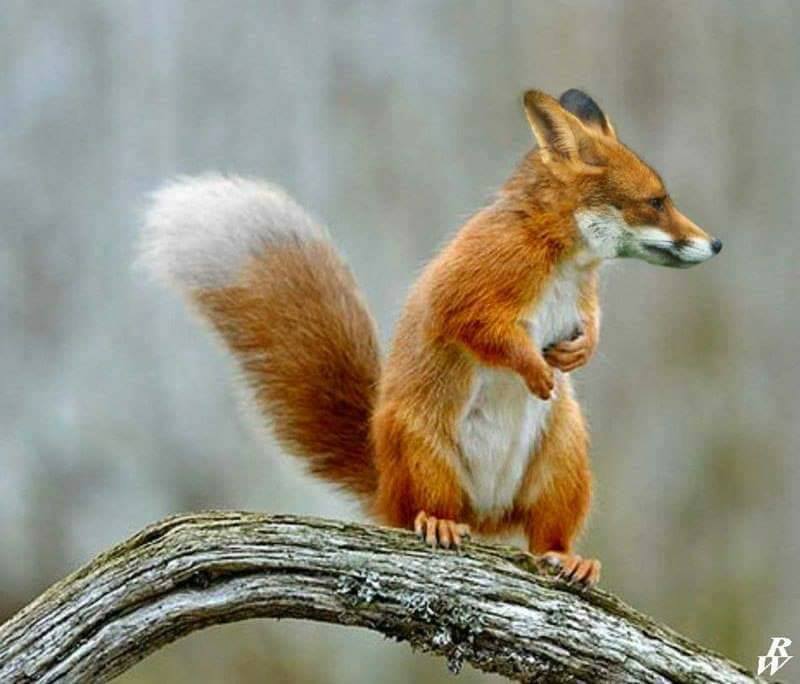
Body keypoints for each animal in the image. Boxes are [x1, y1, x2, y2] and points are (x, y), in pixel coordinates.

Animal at [140, 88, 721, 587]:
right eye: (654, 201)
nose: (714, 243)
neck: (565, 256)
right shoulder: (472, 288)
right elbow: (485, 334)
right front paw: (535, 370)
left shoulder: (582, 301)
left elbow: (592, 326)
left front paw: (578, 353)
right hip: (427, 456)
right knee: (430, 512)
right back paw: (438, 524)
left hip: (563, 465)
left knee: (545, 539)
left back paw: (570, 558)